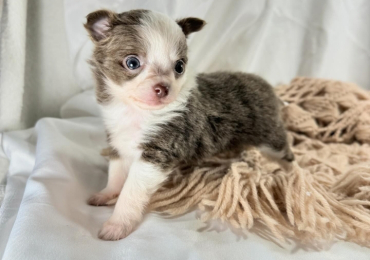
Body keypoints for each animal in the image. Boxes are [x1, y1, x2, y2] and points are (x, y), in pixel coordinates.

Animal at [84, 8, 294, 240]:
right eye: (132, 63)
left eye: (179, 67)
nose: (163, 88)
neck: (136, 111)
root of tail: (269, 88)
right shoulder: (118, 143)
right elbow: (116, 174)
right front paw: (107, 194)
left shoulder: (155, 156)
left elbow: (131, 192)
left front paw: (117, 223)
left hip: (270, 136)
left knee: (285, 150)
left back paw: (290, 173)